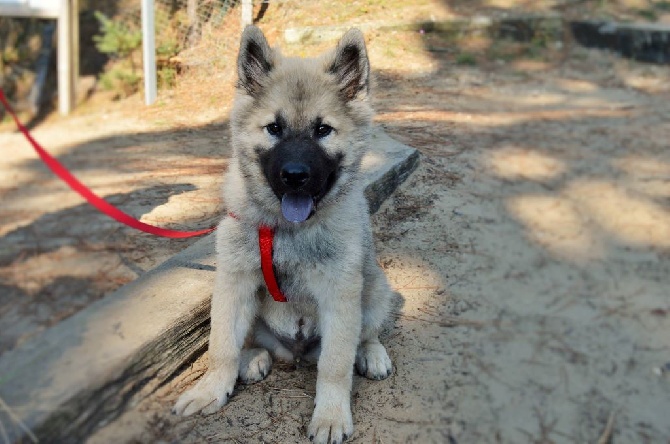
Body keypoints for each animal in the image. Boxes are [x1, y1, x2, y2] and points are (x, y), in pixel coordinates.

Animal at [173, 25, 396, 444]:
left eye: (323, 130)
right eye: (274, 128)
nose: (294, 176)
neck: (288, 230)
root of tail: (295, 352)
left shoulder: (340, 294)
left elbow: (335, 365)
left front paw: (330, 415)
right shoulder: (234, 282)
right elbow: (221, 346)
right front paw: (211, 389)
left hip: (375, 287)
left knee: (366, 334)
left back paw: (371, 354)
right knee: (248, 341)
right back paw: (253, 360)